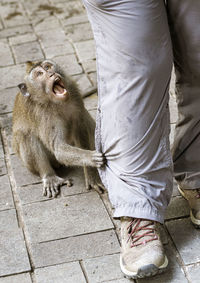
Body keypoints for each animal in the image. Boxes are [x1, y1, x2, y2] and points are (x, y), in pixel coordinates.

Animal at [11, 59, 105, 200]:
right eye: (39, 74)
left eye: (47, 67)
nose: (51, 74)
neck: (55, 102)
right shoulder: (44, 116)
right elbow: (58, 149)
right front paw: (90, 158)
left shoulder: (74, 93)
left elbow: (80, 126)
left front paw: (91, 174)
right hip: (29, 163)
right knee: (25, 135)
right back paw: (49, 176)